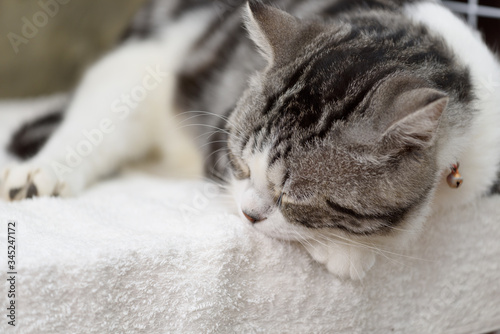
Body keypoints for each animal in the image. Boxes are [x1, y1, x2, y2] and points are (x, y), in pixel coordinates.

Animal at [0, 0, 500, 280]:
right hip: (133, 74)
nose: (248, 214)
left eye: (294, 196)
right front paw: (347, 253)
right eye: (241, 163)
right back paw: (40, 173)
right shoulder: (217, 142)